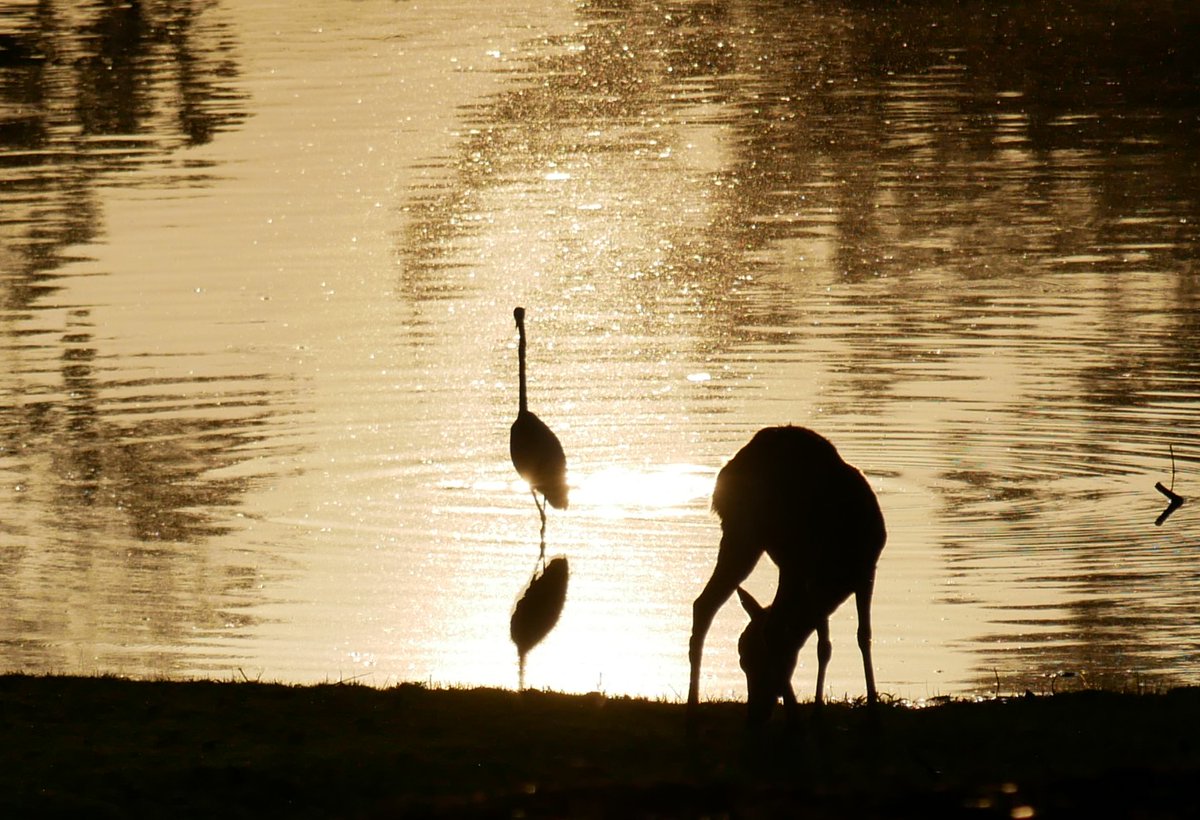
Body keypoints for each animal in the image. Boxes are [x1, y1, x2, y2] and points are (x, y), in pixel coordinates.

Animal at [687, 425, 886, 729]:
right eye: (743, 661)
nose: (755, 714)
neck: (837, 572)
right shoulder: (831, 574)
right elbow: (843, 640)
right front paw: (859, 714)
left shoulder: (857, 573)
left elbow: (843, 640)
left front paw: (831, 712)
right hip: (767, 542)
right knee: (765, 622)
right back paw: (791, 717)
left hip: (752, 539)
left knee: (705, 604)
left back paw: (693, 712)